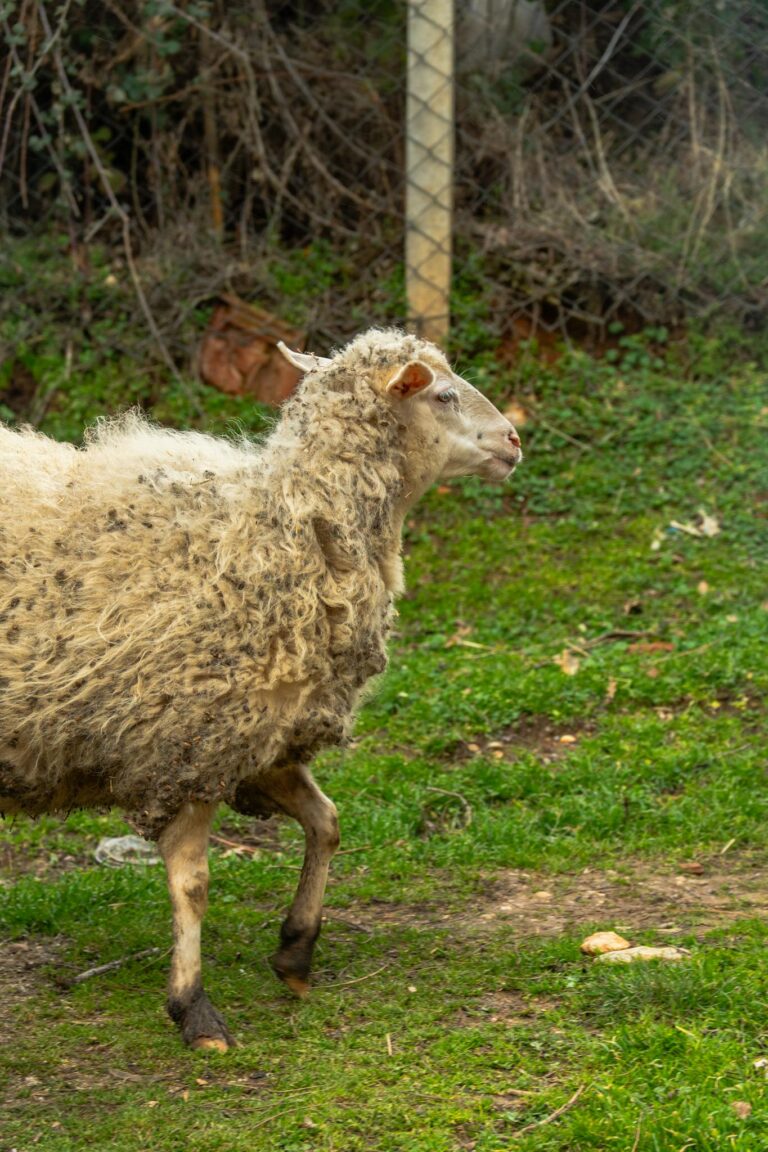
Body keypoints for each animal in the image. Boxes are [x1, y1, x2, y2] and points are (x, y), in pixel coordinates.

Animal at [0, 327, 522, 1050]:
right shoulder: (189, 743)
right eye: (443, 395)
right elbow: (193, 885)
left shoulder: (262, 740)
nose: (514, 441)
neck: (286, 530)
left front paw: (296, 950)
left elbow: (327, 823)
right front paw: (193, 1008)